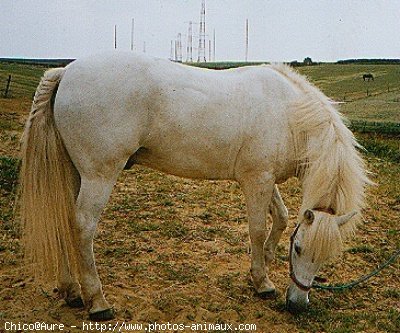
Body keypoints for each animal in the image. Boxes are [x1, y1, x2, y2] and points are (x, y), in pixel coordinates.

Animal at [18, 52, 368, 320]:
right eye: (299, 249)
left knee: (63, 221)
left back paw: (71, 291)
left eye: (325, 258)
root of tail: (67, 71)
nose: (296, 305)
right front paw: (262, 282)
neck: (290, 114)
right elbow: (257, 229)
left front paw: (265, 261)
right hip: (98, 176)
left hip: (75, 174)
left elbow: (280, 218)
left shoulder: (266, 180)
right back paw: (97, 302)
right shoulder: (256, 181)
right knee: (83, 227)